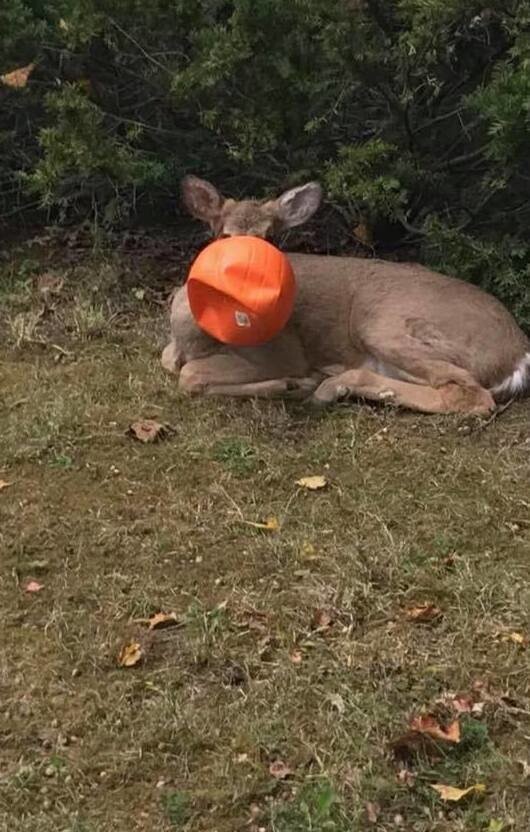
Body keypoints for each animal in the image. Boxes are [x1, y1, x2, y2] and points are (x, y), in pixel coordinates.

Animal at [161, 176, 528, 412]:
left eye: (272, 237)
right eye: (224, 235)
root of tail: (519, 352)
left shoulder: (283, 351)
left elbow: (189, 375)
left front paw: (291, 384)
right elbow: (171, 363)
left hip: (385, 325)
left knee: (471, 396)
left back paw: (325, 387)